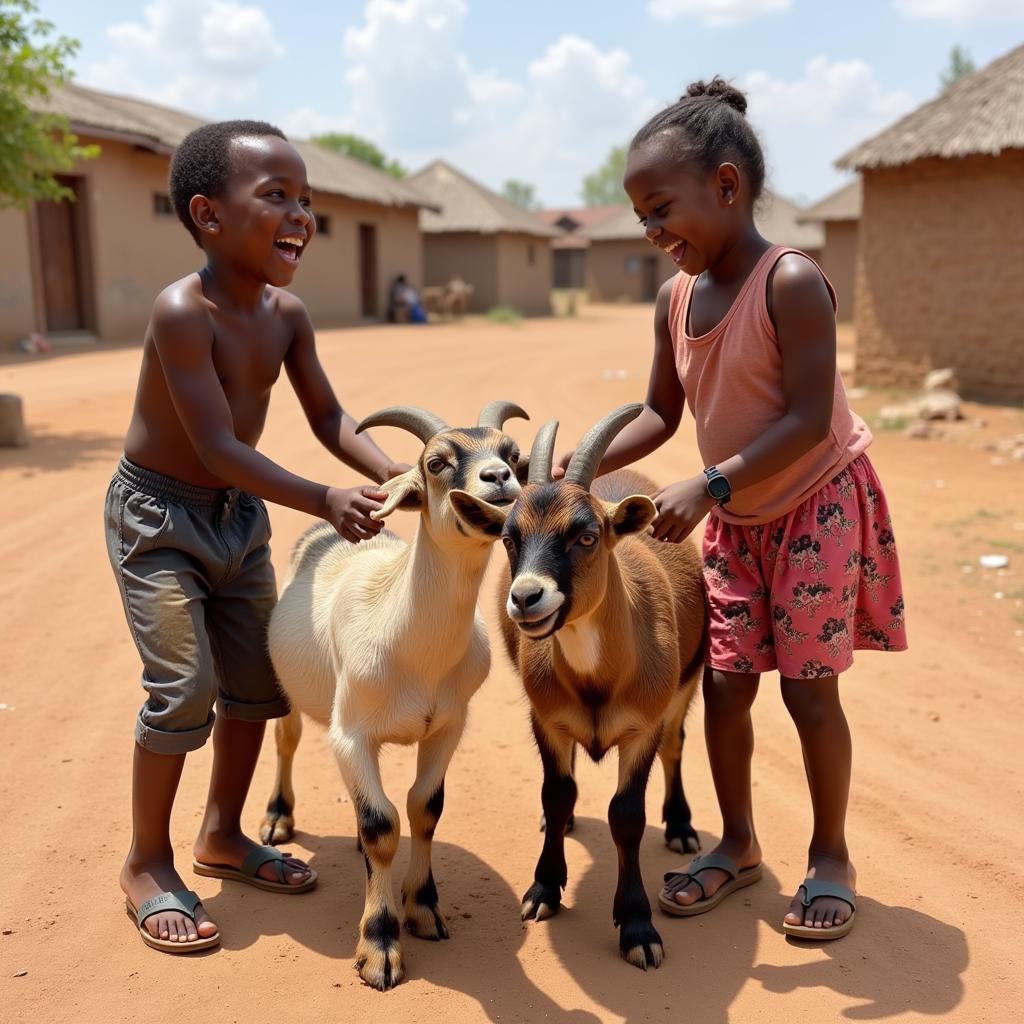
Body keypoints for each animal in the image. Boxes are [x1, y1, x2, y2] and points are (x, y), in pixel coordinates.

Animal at [260, 401, 524, 991]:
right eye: (436, 462)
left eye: (512, 452)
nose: (499, 479)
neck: (412, 648)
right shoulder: (351, 735)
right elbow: (382, 826)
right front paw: (379, 948)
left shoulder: (448, 726)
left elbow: (423, 809)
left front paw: (423, 910)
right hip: (290, 692)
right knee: (287, 739)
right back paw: (277, 819)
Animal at [452, 405, 708, 966]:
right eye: (509, 538)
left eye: (586, 536)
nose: (526, 598)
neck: (600, 677)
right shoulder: (547, 721)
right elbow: (556, 792)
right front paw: (545, 888)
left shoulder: (643, 728)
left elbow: (626, 814)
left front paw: (637, 926)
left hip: (687, 686)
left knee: (677, 744)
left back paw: (680, 827)